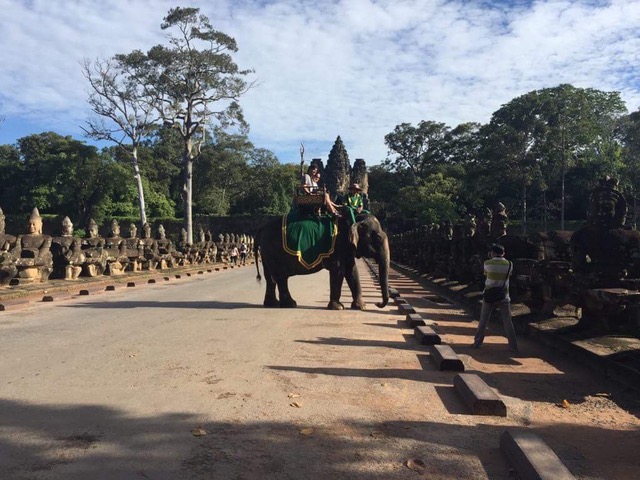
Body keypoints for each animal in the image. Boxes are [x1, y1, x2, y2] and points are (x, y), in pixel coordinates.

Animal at [255, 213, 390, 310]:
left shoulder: (346, 249)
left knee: (270, 277)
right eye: (378, 238)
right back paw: (290, 304)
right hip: (273, 250)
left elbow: (352, 271)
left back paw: (272, 304)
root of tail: (261, 227)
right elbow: (339, 271)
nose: (377, 303)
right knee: (281, 277)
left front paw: (361, 307)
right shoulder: (338, 247)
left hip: (266, 252)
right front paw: (338, 308)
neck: (352, 218)